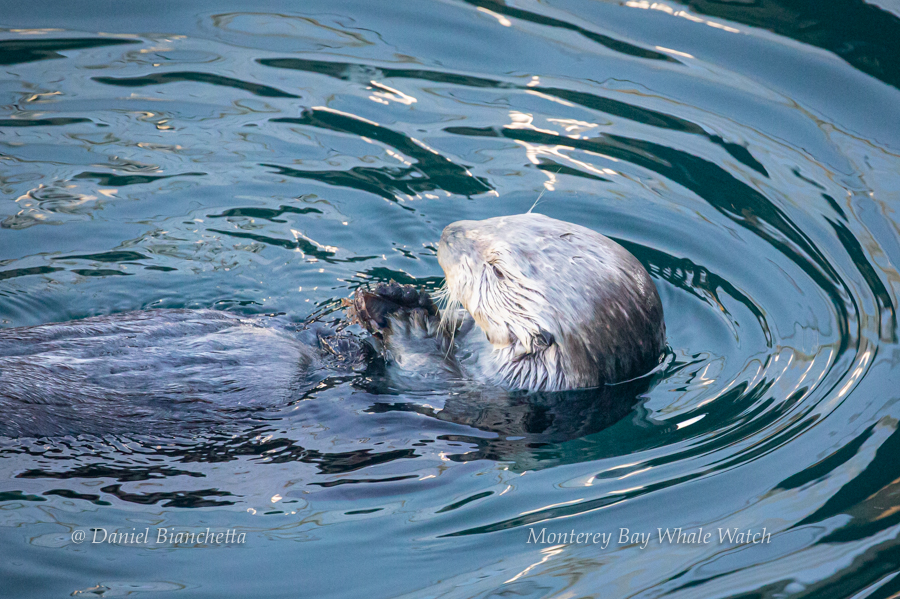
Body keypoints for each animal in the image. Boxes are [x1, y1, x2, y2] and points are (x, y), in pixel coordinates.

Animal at [0, 213, 664, 436]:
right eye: (511, 218)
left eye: (499, 267)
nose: (450, 231)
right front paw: (393, 293)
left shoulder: (482, 392)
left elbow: (414, 367)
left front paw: (398, 318)